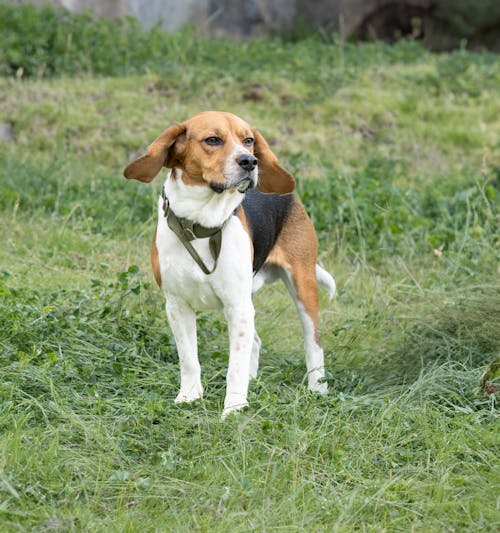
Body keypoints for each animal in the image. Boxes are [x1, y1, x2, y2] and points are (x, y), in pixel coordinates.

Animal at [124, 110, 336, 418]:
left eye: (248, 140)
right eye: (212, 140)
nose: (250, 161)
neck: (201, 222)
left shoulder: (237, 306)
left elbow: (234, 366)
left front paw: (234, 408)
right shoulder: (177, 305)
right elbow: (189, 359)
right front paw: (189, 397)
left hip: (302, 284)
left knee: (313, 342)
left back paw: (317, 389)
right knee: (255, 343)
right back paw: (253, 380)